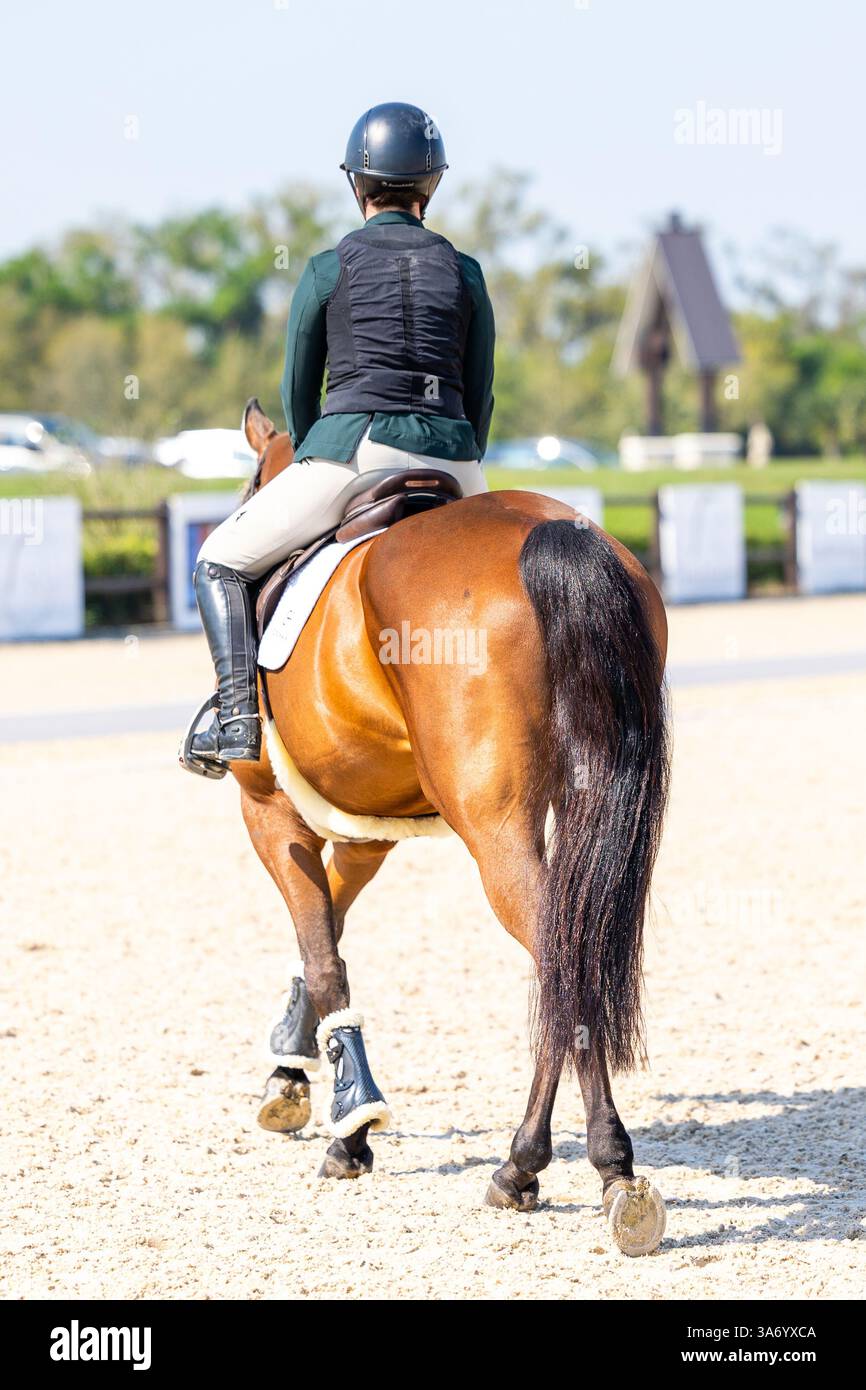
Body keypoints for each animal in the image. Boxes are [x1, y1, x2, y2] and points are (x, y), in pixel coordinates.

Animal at [228, 396, 671, 1255]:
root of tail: (553, 532)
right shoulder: (365, 828)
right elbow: (324, 931)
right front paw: (295, 1064)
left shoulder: (269, 811)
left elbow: (322, 950)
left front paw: (349, 1124)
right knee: (571, 954)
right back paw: (587, 1168)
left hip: (492, 829)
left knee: (562, 964)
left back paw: (544, 1163)